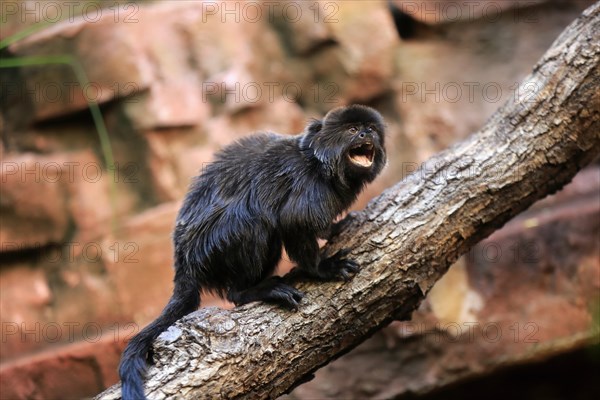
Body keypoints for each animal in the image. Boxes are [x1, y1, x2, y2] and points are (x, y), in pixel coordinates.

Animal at [119, 104, 386, 398]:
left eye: (371, 129)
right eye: (352, 130)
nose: (365, 134)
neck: (322, 168)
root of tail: (185, 261)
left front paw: (336, 227)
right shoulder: (307, 188)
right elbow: (292, 221)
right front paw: (323, 269)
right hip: (213, 246)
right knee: (254, 223)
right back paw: (255, 290)